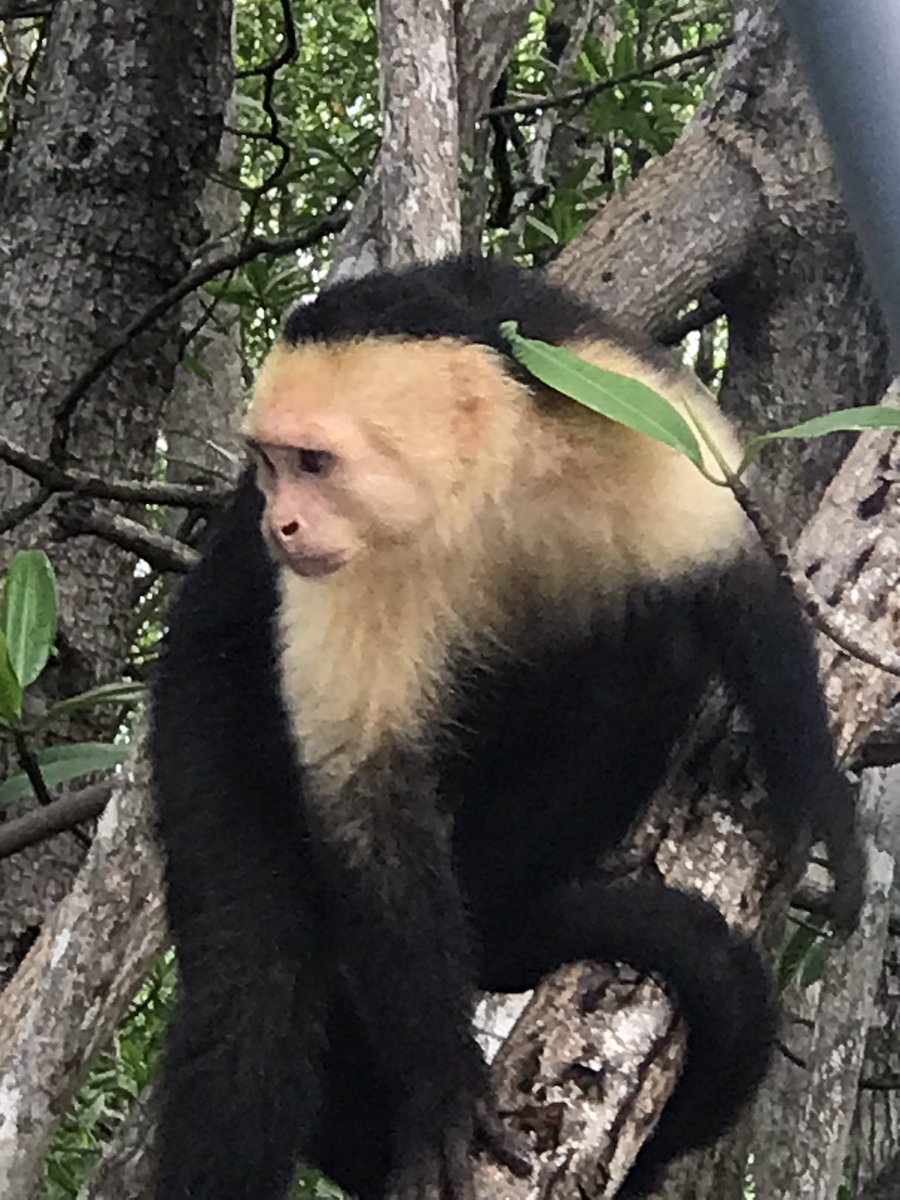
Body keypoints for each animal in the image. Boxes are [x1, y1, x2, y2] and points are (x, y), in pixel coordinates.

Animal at [149, 255, 862, 1200]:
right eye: (268, 466)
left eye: (314, 462)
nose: (280, 524)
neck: (482, 489)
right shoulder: (346, 574)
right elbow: (368, 798)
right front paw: (442, 1086)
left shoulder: (618, 401)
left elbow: (743, 579)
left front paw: (822, 804)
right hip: (205, 700)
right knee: (248, 1000)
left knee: (650, 639)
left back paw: (511, 918)